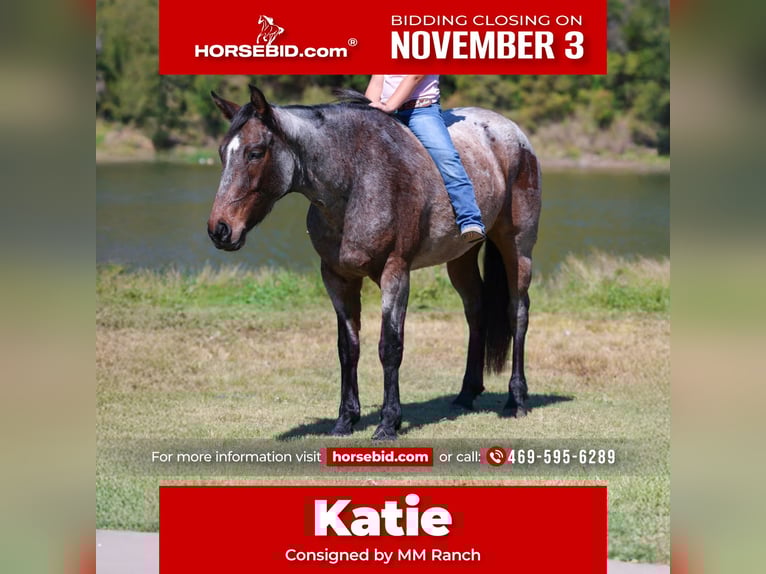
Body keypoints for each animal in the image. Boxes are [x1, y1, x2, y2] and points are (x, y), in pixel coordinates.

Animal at [207, 85, 542, 440]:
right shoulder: (337, 278)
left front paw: (388, 422)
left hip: (517, 247)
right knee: (476, 311)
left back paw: (516, 400)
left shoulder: (395, 274)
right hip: (461, 257)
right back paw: (466, 394)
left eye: (255, 153)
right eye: (222, 153)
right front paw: (345, 420)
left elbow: (390, 346)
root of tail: (515, 134)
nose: (220, 229)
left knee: (517, 312)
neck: (356, 179)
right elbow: (348, 348)